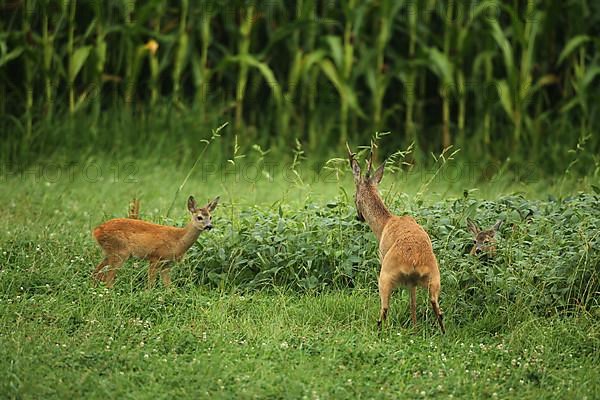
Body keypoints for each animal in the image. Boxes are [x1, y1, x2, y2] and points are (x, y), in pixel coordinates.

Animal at [346, 145, 446, 332]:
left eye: (354, 196)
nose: (359, 216)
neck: (385, 222)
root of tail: (413, 260)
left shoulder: (381, 255)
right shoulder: (413, 283)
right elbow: (413, 302)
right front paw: (414, 327)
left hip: (385, 275)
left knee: (384, 309)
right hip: (434, 277)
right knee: (436, 307)